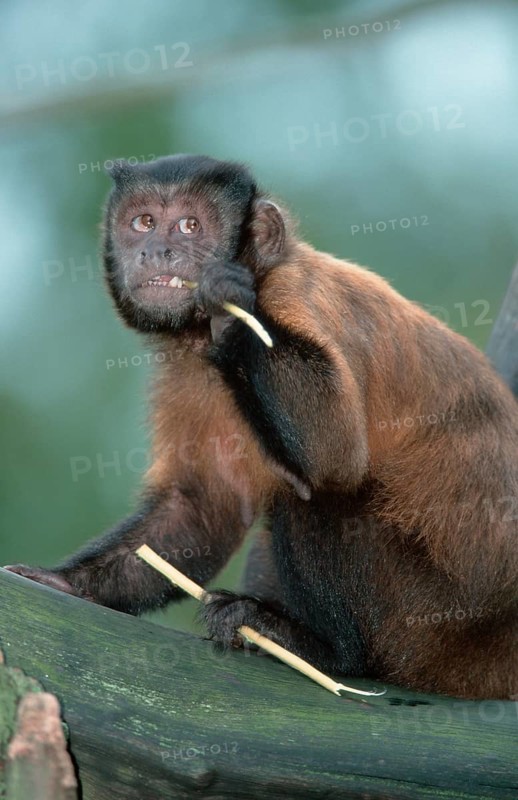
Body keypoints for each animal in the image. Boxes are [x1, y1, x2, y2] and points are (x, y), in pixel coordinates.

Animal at [5, 154, 518, 700]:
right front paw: (68, 584)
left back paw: (328, 653)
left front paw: (234, 307)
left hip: (431, 625)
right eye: (143, 222)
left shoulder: (295, 296)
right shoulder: (189, 367)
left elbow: (333, 452)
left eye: (190, 226)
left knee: (318, 493)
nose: (157, 249)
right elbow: (204, 506)